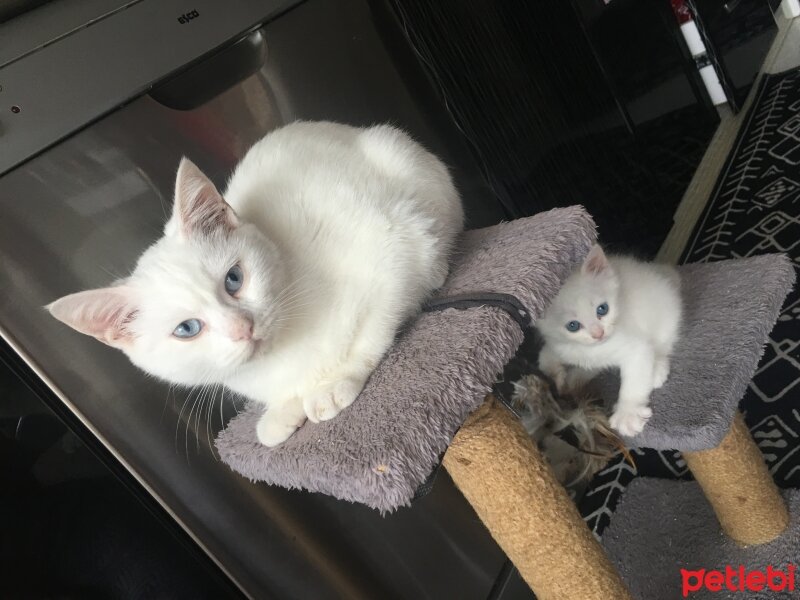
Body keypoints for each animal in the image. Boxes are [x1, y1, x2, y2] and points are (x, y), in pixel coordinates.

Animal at [48, 120, 462, 446]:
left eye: (234, 279)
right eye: (187, 329)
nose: (242, 329)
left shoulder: (390, 242)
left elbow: (377, 320)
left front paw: (334, 381)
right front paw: (281, 412)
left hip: (398, 157)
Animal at [536, 244, 680, 436]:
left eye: (602, 309)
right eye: (573, 326)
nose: (598, 333)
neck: (590, 350)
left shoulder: (636, 348)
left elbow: (635, 379)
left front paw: (628, 414)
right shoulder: (558, 345)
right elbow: (544, 359)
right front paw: (559, 378)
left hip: (665, 318)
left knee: (664, 345)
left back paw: (657, 370)